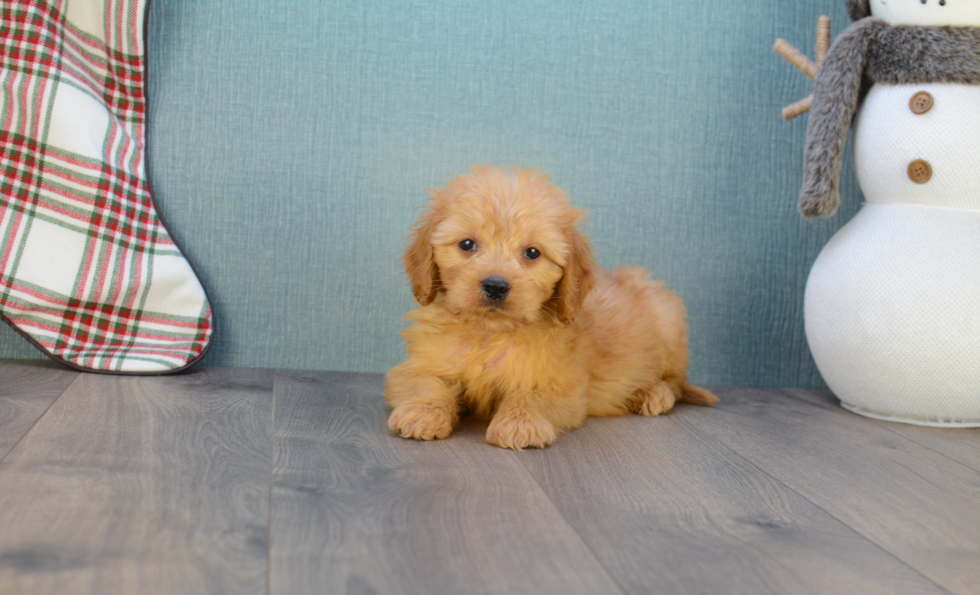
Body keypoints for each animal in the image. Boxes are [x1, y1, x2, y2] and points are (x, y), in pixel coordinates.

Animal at [384, 165, 720, 450]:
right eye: (467, 244)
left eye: (533, 252)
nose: (495, 286)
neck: (490, 334)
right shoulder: (417, 367)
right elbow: (427, 384)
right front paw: (422, 413)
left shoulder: (562, 384)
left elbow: (530, 395)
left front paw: (520, 423)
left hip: (667, 318)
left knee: (674, 381)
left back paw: (651, 392)